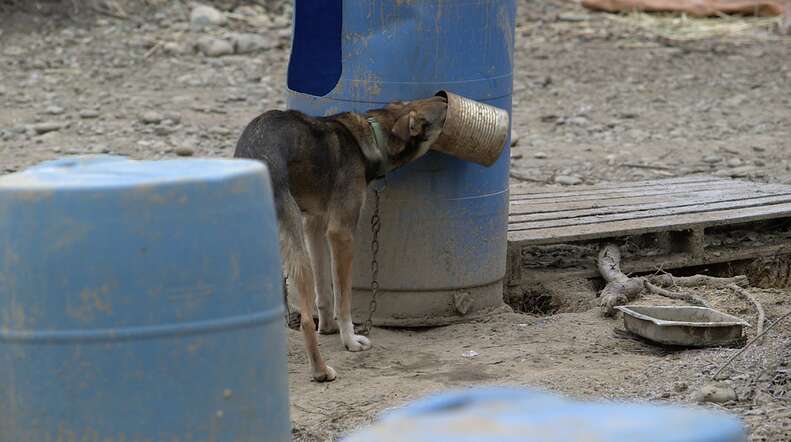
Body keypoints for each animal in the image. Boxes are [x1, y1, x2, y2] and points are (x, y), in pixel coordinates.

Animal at [234, 96, 446, 380]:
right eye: (439, 116)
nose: (444, 96)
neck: (372, 133)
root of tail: (259, 158)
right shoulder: (341, 233)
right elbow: (343, 299)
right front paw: (350, 340)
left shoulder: (314, 224)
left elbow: (324, 291)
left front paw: (327, 327)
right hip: (296, 252)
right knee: (304, 321)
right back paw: (320, 371)